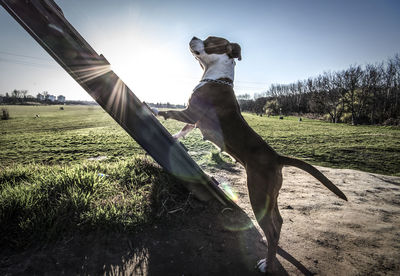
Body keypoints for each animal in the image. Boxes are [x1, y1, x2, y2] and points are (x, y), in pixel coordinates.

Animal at [157, 36, 346, 274]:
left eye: (210, 41)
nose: (193, 38)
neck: (217, 77)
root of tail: (276, 157)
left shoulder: (190, 113)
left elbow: (170, 112)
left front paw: (153, 109)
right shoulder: (192, 120)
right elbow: (183, 130)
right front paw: (173, 136)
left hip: (257, 194)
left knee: (272, 229)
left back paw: (268, 263)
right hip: (270, 196)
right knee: (278, 222)